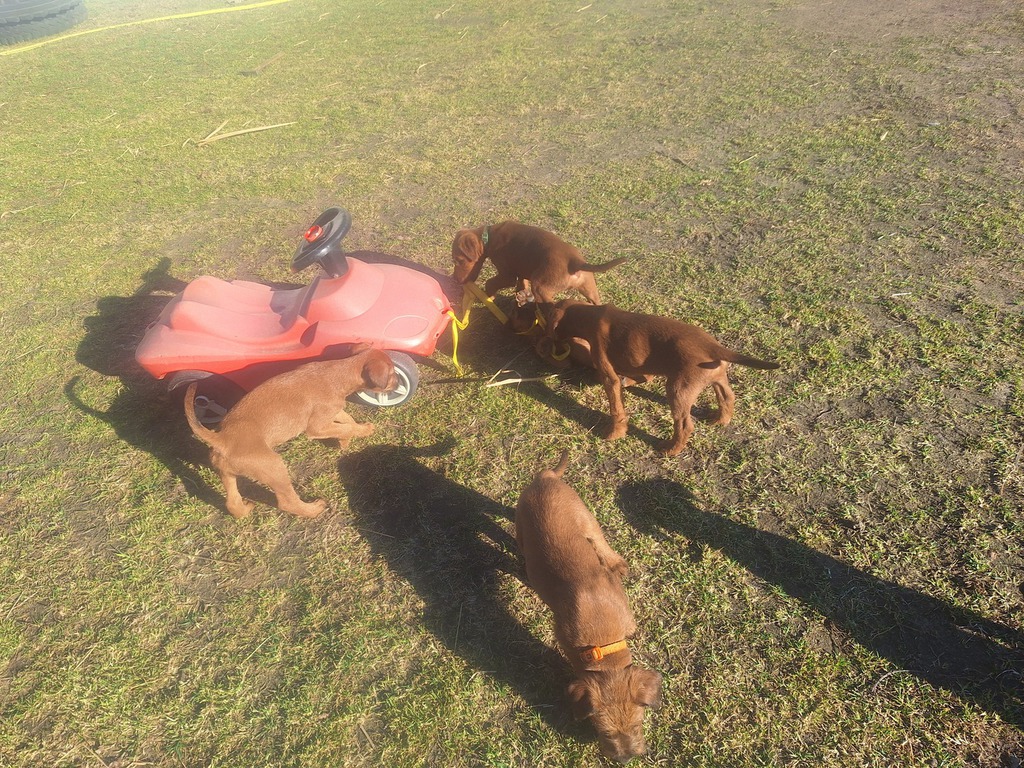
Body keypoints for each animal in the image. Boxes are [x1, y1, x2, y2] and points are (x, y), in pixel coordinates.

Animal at [184, 347, 396, 518]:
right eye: (393, 374)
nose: (399, 384)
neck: (338, 372)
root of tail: (221, 438)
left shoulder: (333, 411)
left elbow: (348, 420)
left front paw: (358, 432)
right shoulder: (317, 427)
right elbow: (345, 427)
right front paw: (352, 436)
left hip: (228, 473)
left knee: (232, 502)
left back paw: (244, 510)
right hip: (274, 466)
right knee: (287, 502)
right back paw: (313, 509)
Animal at [450, 221, 625, 305]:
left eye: (458, 261)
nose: (455, 280)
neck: (489, 236)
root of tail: (575, 262)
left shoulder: (507, 275)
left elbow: (490, 283)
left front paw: (489, 297)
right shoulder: (521, 271)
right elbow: (522, 283)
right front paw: (521, 295)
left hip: (541, 287)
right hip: (589, 288)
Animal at [515, 451, 662, 763]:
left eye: (637, 725)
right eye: (604, 732)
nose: (625, 759)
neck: (602, 640)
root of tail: (545, 477)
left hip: (584, 517)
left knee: (599, 540)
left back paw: (616, 563)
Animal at [546, 300, 779, 456]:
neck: (590, 315)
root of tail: (714, 347)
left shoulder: (608, 375)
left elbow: (616, 408)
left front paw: (615, 433)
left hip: (678, 390)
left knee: (685, 425)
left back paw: (671, 449)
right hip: (717, 379)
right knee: (728, 398)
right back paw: (720, 419)